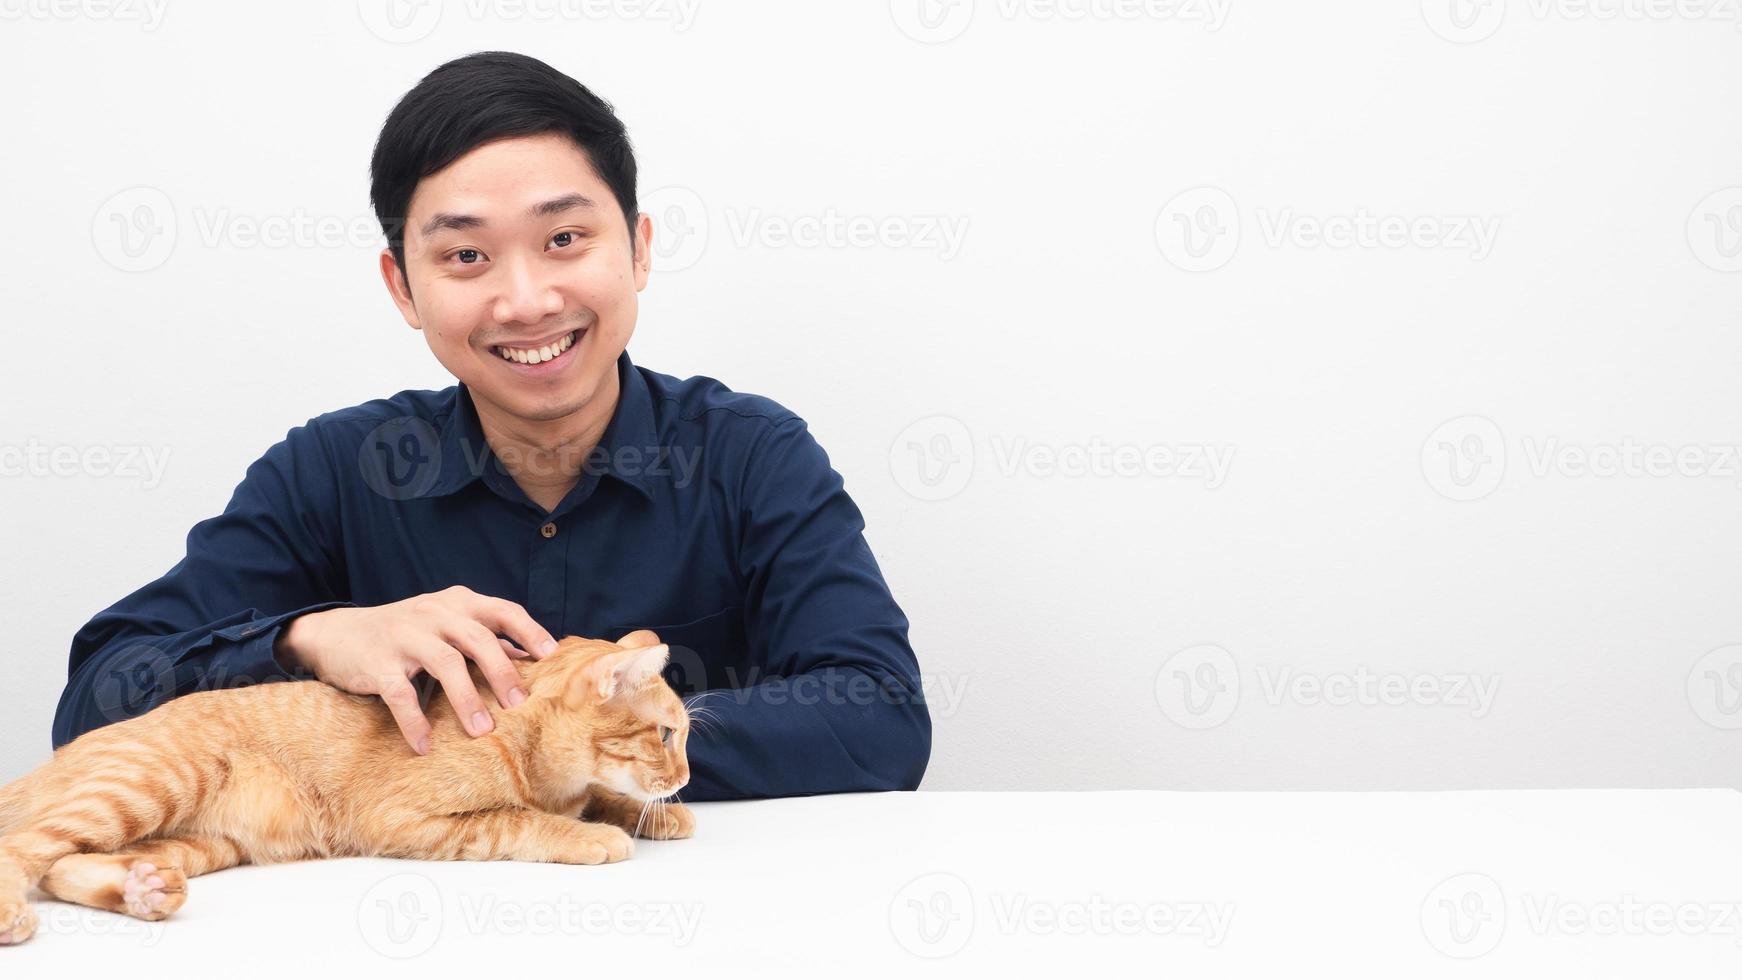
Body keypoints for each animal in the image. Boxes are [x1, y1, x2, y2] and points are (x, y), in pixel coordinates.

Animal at [0, 633, 693, 946]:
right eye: (666, 734)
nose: (686, 777)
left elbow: (609, 796)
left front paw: (658, 816)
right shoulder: (404, 821)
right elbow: (517, 820)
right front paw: (592, 834)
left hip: (199, 843)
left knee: (64, 866)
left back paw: (143, 890)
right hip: (153, 782)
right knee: (25, 848)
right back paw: (14, 915)